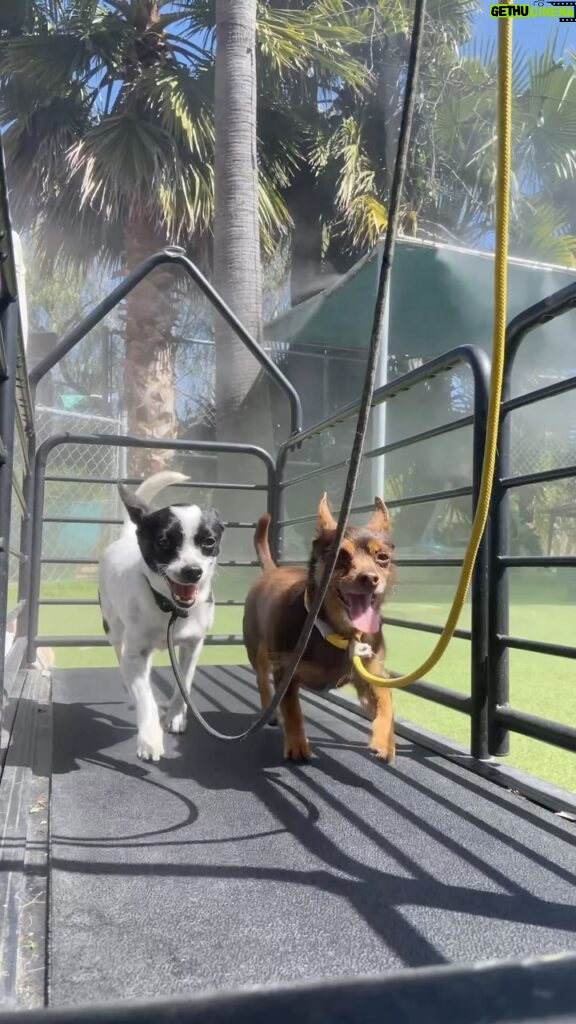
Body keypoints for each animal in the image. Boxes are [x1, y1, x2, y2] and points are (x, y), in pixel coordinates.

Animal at [97, 471, 223, 761]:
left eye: (209, 542)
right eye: (164, 542)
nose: (192, 571)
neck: (170, 609)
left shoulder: (193, 646)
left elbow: (184, 682)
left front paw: (176, 716)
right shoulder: (135, 653)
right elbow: (145, 697)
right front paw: (150, 738)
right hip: (114, 629)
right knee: (121, 657)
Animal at [239, 491, 391, 765]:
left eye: (382, 558)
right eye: (339, 557)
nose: (370, 578)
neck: (336, 633)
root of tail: (272, 569)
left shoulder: (370, 675)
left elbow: (386, 699)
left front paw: (384, 741)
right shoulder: (285, 674)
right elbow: (292, 710)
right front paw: (297, 744)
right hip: (258, 651)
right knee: (262, 682)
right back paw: (270, 713)